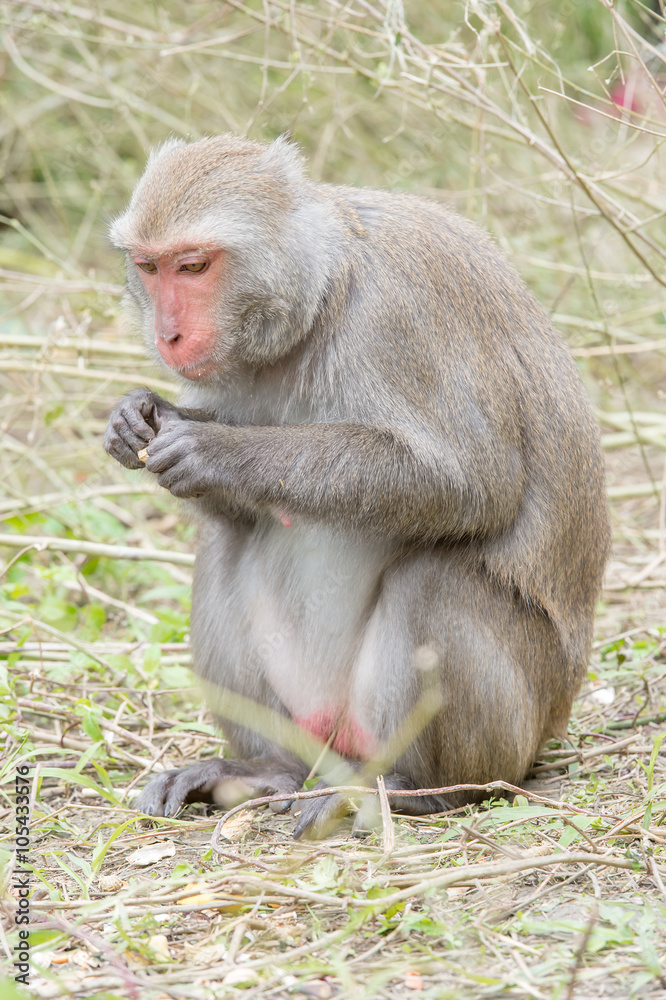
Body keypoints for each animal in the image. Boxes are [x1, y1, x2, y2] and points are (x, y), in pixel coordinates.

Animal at [104, 134, 610, 838]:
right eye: (150, 268)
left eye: (195, 266)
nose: (168, 334)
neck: (319, 297)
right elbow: (236, 513)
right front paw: (137, 418)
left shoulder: (398, 315)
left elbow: (470, 482)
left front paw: (218, 451)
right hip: (316, 725)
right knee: (226, 544)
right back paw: (270, 770)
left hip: (515, 734)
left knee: (434, 581)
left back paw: (419, 789)